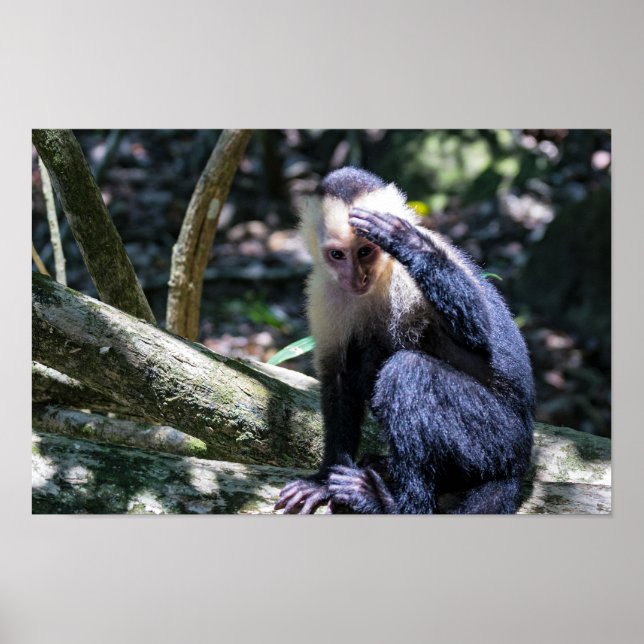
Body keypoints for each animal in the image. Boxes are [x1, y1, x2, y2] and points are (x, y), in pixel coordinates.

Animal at [274, 167, 534, 514]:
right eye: (337, 254)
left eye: (365, 251)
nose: (356, 278)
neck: (379, 278)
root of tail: (521, 460)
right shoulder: (325, 291)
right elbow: (338, 378)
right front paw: (323, 479)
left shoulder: (409, 275)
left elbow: (479, 332)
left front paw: (406, 240)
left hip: (501, 439)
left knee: (407, 372)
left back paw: (395, 504)